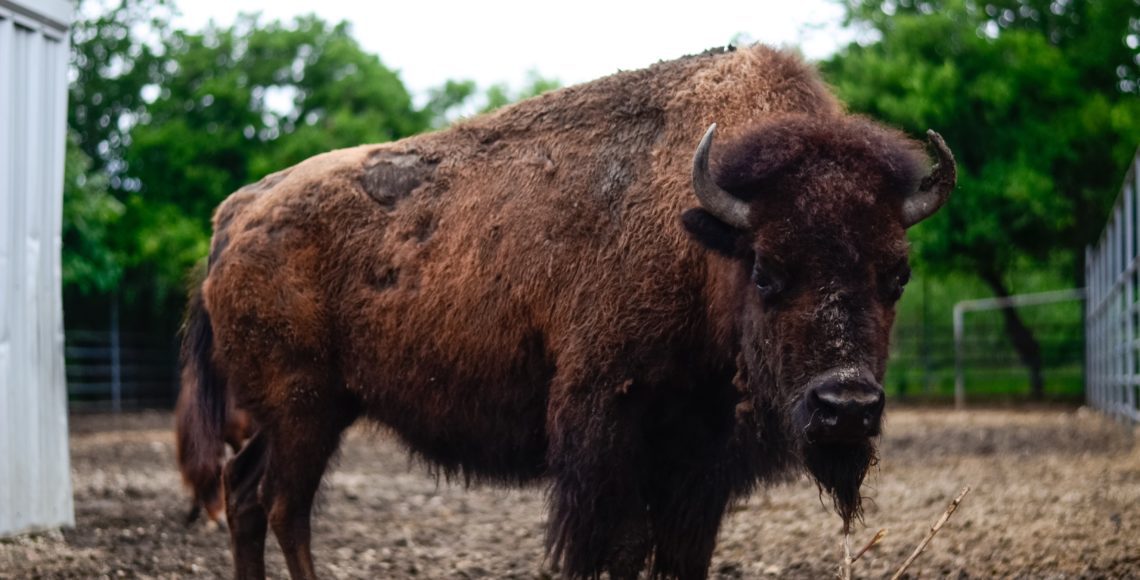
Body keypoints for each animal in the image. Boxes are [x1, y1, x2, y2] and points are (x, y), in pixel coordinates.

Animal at [177, 43, 957, 576]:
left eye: (897, 274)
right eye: (766, 271)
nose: (846, 407)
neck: (703, 236)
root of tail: (237, 212)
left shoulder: (699, 459)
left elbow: (680, 553)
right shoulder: (604, 429)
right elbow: (615, 547)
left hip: (309, 410)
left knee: (245, 497)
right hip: (302, 409)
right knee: (285, 507)